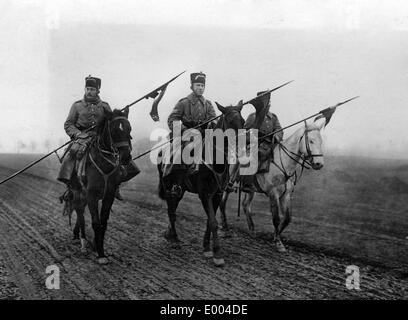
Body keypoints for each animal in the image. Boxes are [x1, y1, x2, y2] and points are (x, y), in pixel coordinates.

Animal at [70, 109, 132, 264]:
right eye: (114, 130)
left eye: (129, 129)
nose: (125, 157)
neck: (103, 162)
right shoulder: (91, 195)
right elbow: (96, 223)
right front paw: (100, 255)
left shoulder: (108, 195)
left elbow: (103, 223)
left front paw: (100, 250)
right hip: (78, 192)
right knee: (80, 213)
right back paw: (83, 242)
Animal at [218, 117, 326, 252]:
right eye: (311, 141)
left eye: (321, 141)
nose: (319, 164)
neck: (283, 162)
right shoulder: (273, 194)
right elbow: (276, 219)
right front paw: (278, 243)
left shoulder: (286, 195)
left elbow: (287, 218)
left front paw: (276, 236)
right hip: (229, 182)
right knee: (223, 201)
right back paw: (224, 228)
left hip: (251, 189)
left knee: (245, 205)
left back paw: (252, 230)